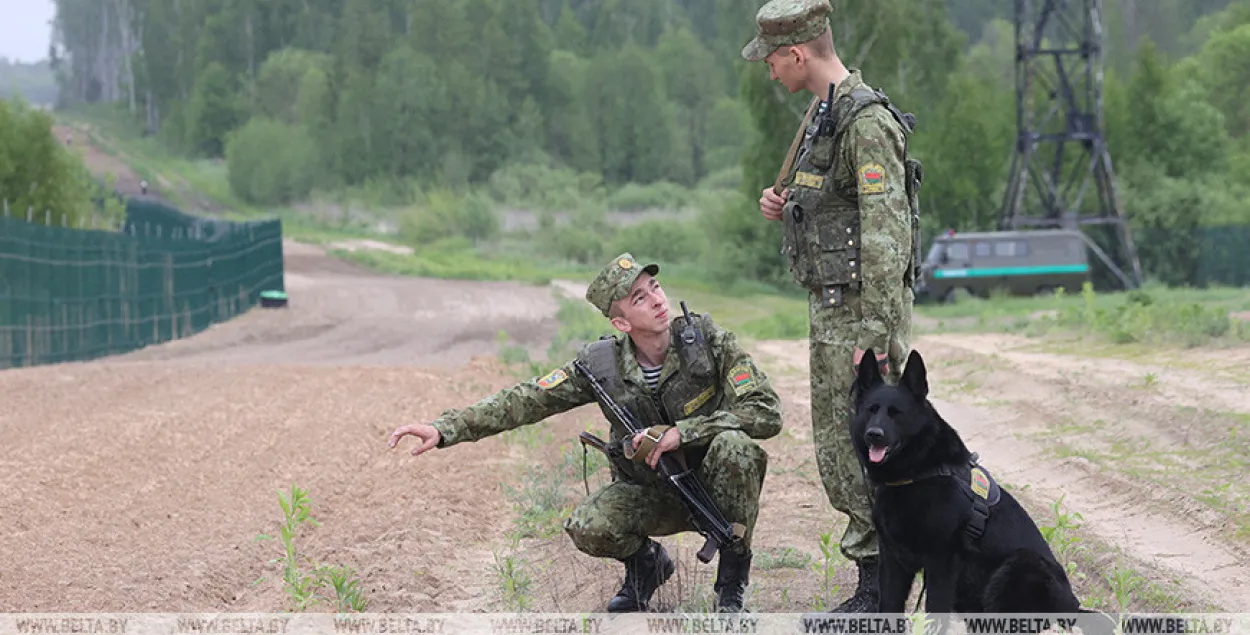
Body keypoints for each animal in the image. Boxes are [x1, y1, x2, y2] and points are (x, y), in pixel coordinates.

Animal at [850, 347, 1095, 615]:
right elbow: (889, 605)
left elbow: (935, 610)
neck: (917, 474)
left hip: (1018, 565)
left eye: (896, 414)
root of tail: (1075, 607)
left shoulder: (942, 562)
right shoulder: (893, 561)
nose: (874, 435)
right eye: (871, 410)